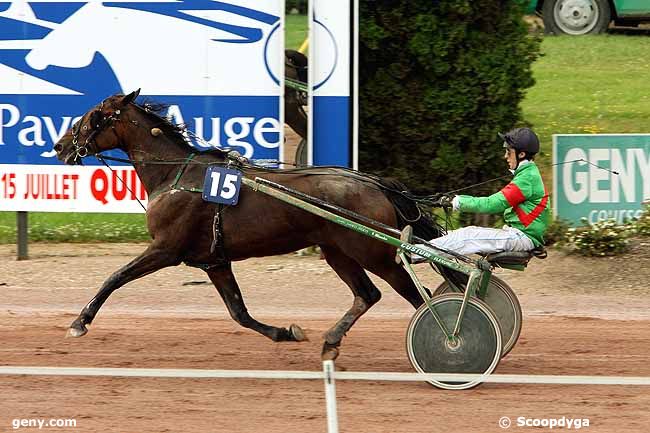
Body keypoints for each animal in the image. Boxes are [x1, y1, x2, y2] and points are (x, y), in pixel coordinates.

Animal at [53, 89, 440, 360]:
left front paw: (80, 322)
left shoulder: (165, 249)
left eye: (94, 116)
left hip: (373, 252)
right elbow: (239, 312)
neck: (175, 174)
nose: (59, 146)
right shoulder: (214, 261)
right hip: (337, 251)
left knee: (417, 295)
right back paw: (331, 341)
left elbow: (114, 277)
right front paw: (287, 333)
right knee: (368, 294)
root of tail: (375, 183)